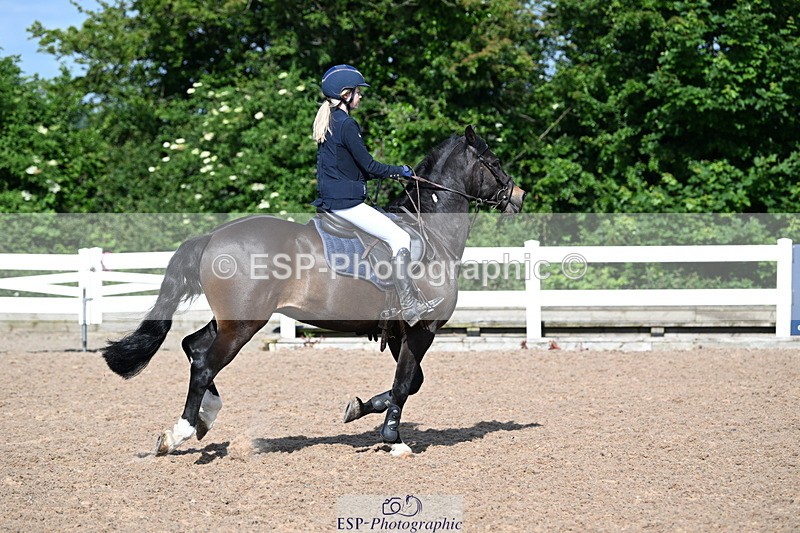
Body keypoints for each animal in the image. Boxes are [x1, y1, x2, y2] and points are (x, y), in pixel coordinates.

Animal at [101, 125, 526, 457]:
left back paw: (204, 419)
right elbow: (406, 383)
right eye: (494, 161)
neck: (431, 233)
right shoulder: (422, 328)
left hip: (230, 320)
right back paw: (181, 432)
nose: (518, 196)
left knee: (193, 346)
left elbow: (407, 383)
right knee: (205, 363)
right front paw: (394, 438)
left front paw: (358, 408)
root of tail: (213, 236)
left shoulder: (401, 331)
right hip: (243, 324)